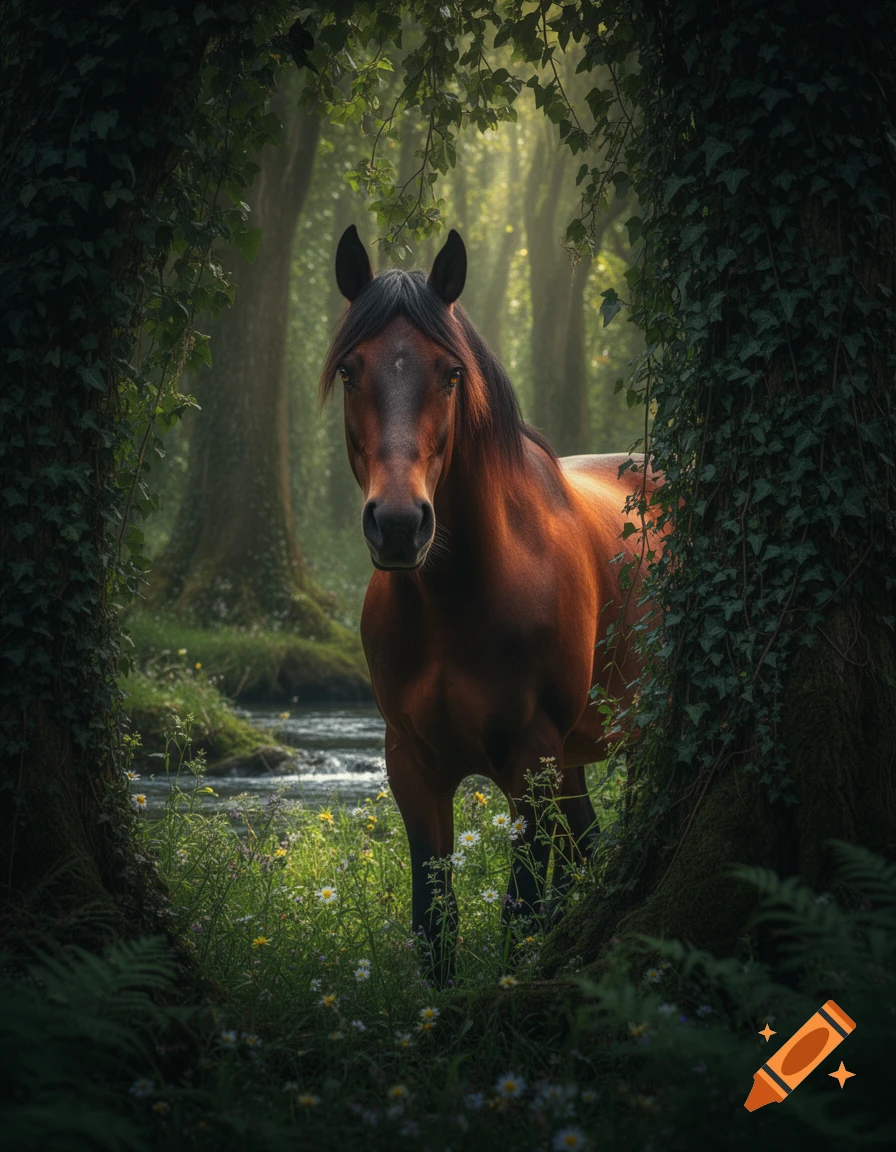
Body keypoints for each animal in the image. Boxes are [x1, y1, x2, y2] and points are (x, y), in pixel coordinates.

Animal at [322, 225, 661, 976]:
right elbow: (434, 925)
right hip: (571, 762)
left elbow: (520, 918)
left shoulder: (528, 762)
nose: (398, 524)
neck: (453, 604)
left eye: (451, 373)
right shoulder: (413, 765)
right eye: (350, 371)